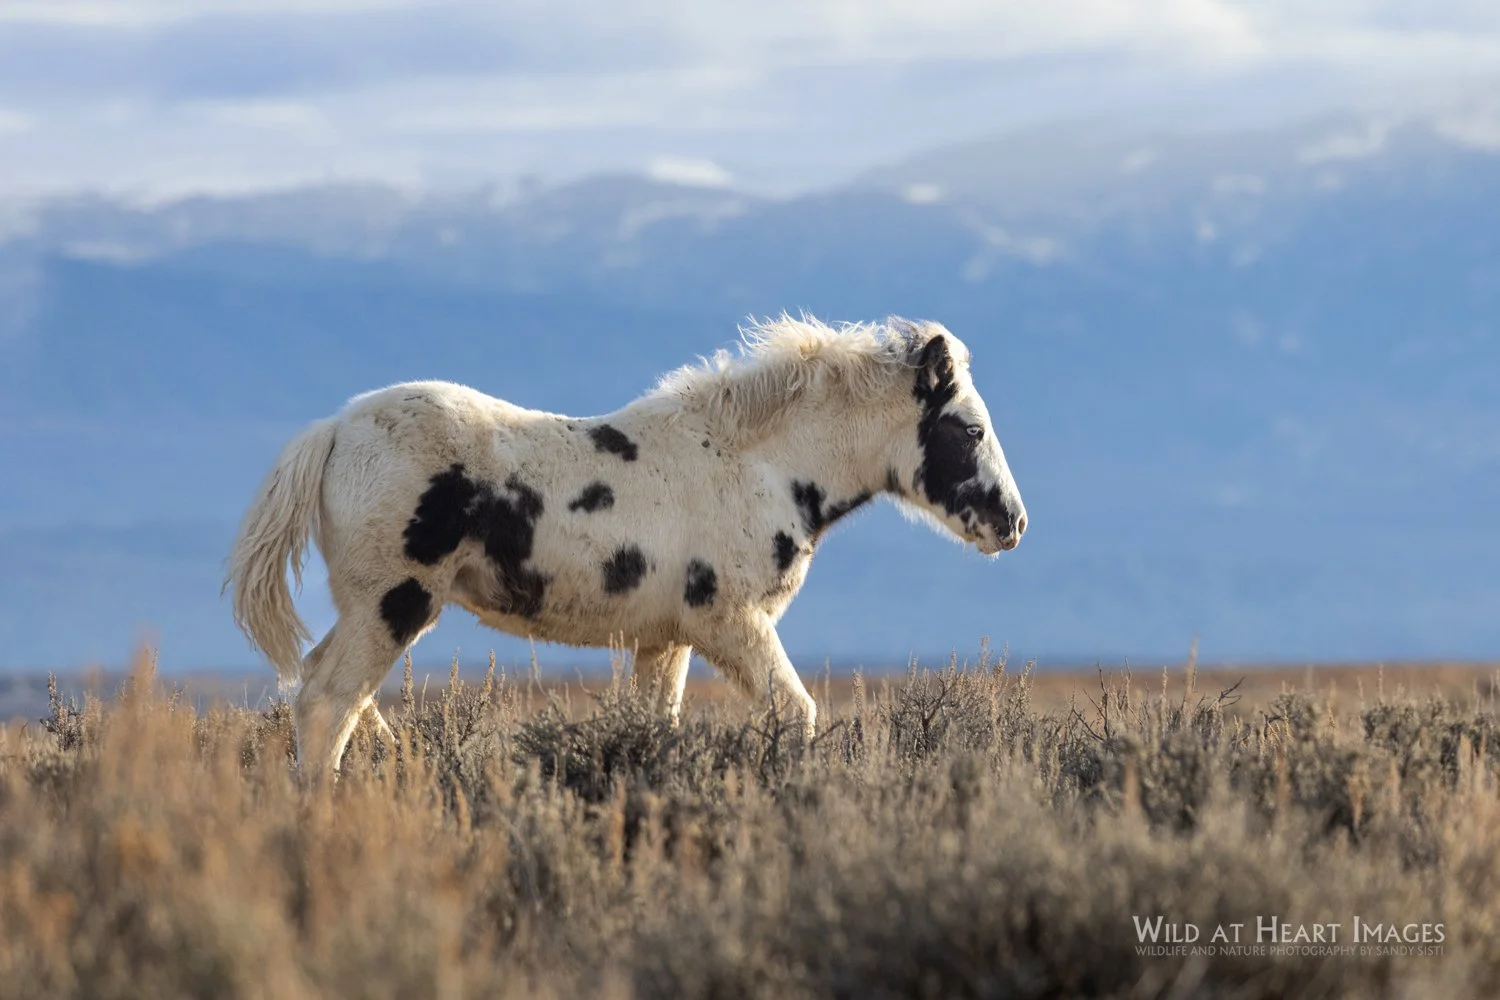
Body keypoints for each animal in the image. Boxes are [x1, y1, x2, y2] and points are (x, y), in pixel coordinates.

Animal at [226, 315, 1027, 777]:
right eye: (971, 429)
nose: (1012, 523)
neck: (758, 463)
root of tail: (334, 429)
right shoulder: (730, 623)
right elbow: (796, 715)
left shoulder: (664, 640)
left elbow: (655, 728)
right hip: (394, 601)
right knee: (327, 702)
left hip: (374, 608)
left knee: (327, 689)